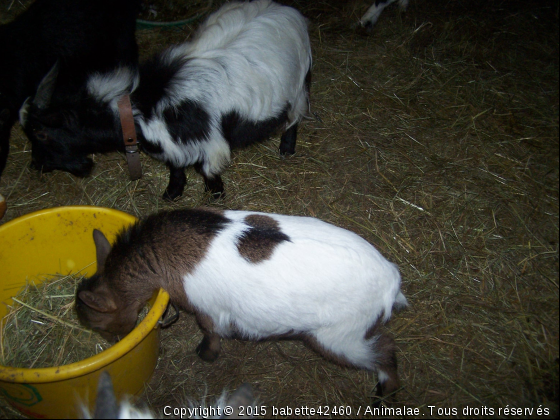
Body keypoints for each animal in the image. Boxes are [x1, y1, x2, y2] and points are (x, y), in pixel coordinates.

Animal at [20, 0, 310, 200]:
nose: (36, 165)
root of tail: (288, 11)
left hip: (299, 85)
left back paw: (286, 148)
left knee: (295, 117)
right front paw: (173, 192)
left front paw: (215, 195)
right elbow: (175, 166)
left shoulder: (209, 143)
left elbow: (207, 171)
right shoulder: (172, 145)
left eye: (41, 133)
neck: (142, 110)